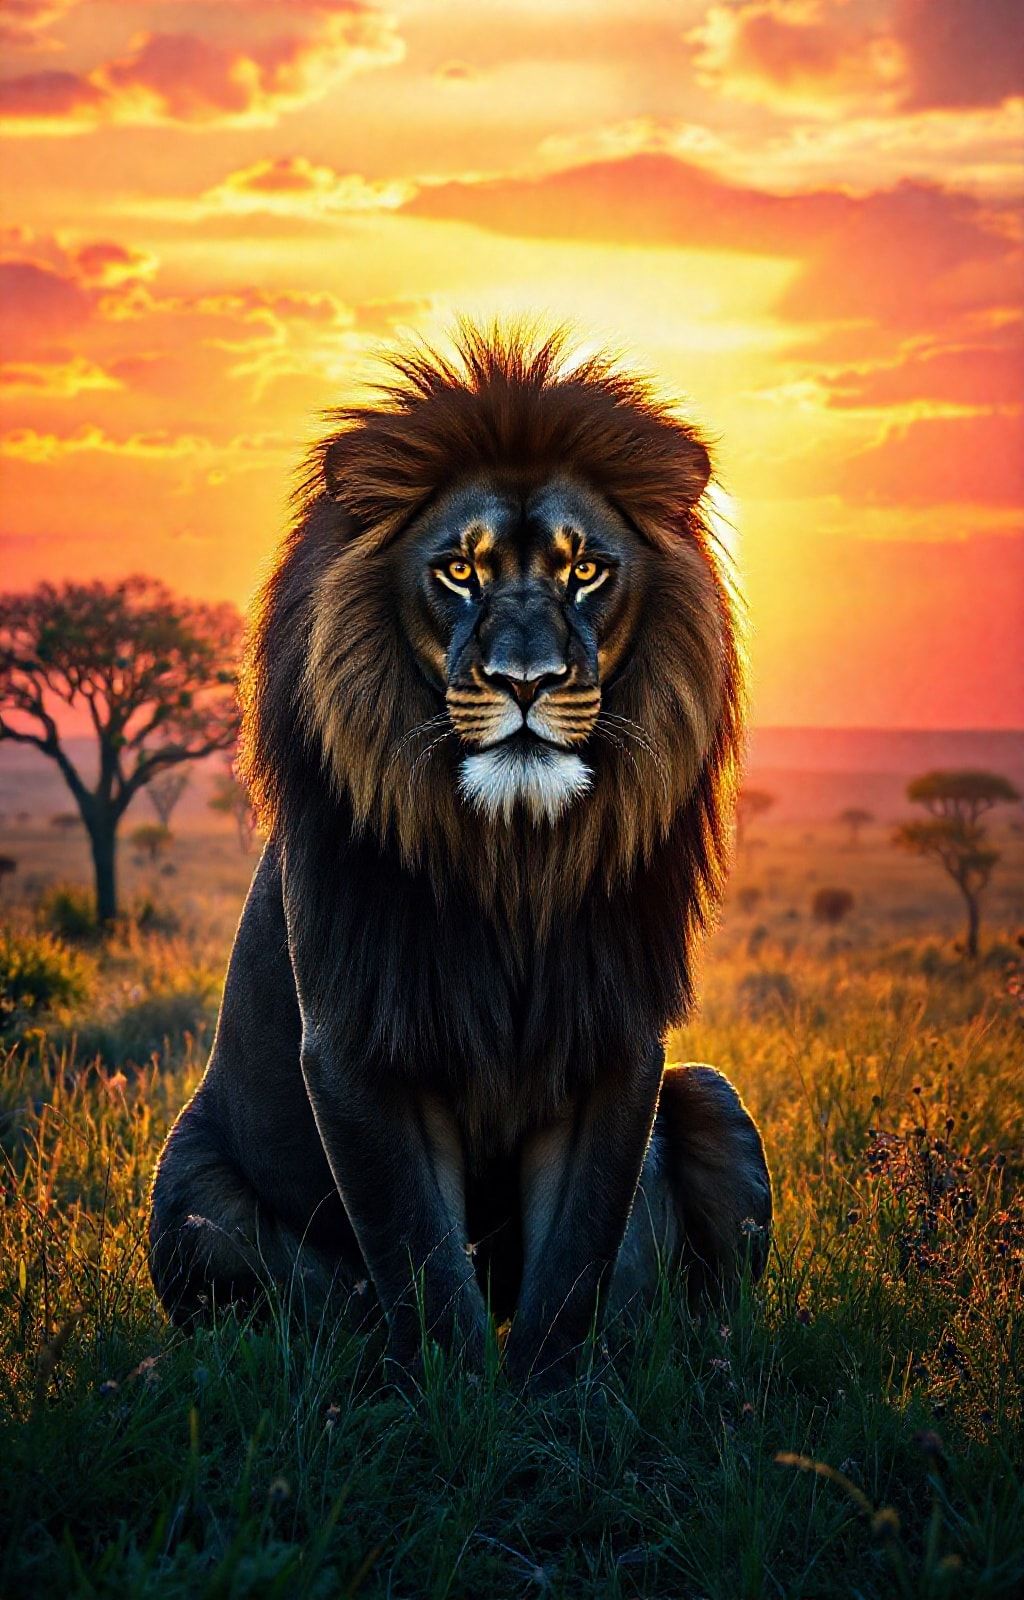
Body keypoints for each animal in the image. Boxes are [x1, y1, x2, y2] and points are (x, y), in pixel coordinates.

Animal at [148, 325, 772, 1387]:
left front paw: (550, 1404)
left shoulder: (616, 1043)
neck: (510, 856)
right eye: (459, 572)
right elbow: (423, 1261)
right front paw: (455, 1403)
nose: (527, 680)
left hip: (714, 1098)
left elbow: (572, 1264)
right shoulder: (358, 1046)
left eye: (585, 571)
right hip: (183, 1205)